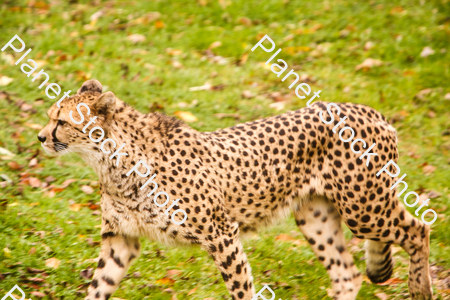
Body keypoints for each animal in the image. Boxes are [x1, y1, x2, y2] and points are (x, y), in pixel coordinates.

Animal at [37, 79, 432, 300]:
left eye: (61, 121)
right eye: (50, 117)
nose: (40, 137)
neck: (112, 160)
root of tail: (371, 111)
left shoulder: (221, 233)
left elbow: (241, 287)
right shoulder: (122, 238)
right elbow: (99, 286)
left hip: (362, 208)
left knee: (418, 230)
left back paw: (420, 289)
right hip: (316, 214)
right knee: (347, 274)